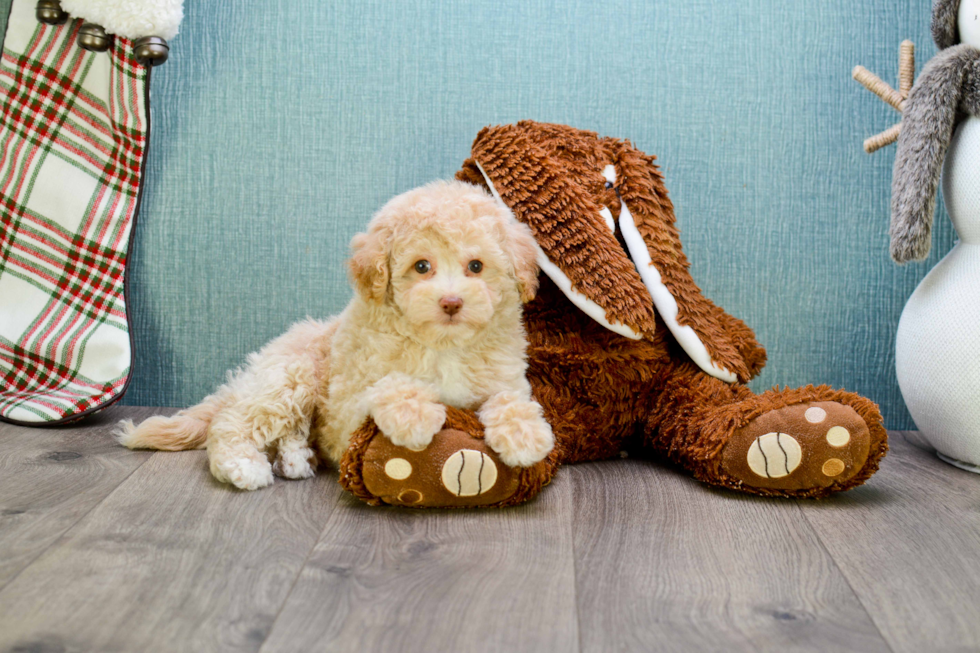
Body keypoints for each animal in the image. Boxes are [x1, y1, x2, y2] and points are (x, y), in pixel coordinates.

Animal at [117, 181, 552, 486]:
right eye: (421, 266)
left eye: (476, 266)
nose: (451, 302)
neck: (443, 345)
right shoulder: (345, 415)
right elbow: (387, 385)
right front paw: (413, 415)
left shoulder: (503, 375)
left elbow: (509, 398)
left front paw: (525, 433)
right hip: (293, 375)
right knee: (232, 421)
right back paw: (245, 465)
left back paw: (296, 459)